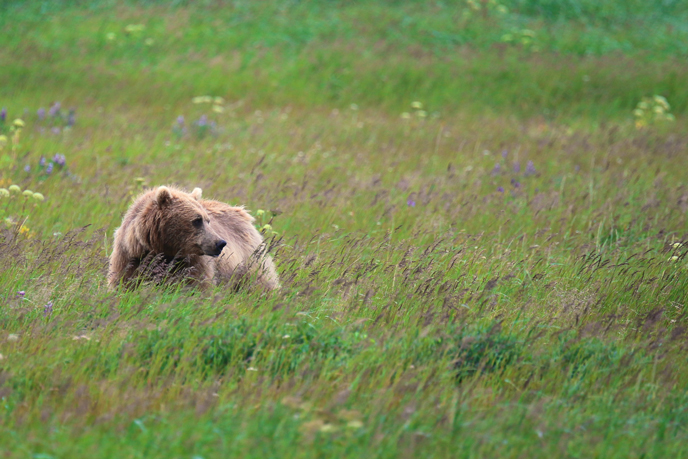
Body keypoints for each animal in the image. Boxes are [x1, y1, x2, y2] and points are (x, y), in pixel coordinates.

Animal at [108, 187, 280, 292]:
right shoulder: (130, 257)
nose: (220, 243)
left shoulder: (193, 262)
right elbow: (123, 283)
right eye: (197, 220)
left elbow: (198, 287)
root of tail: (243, 212)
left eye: (208, 220)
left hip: (250, 260)